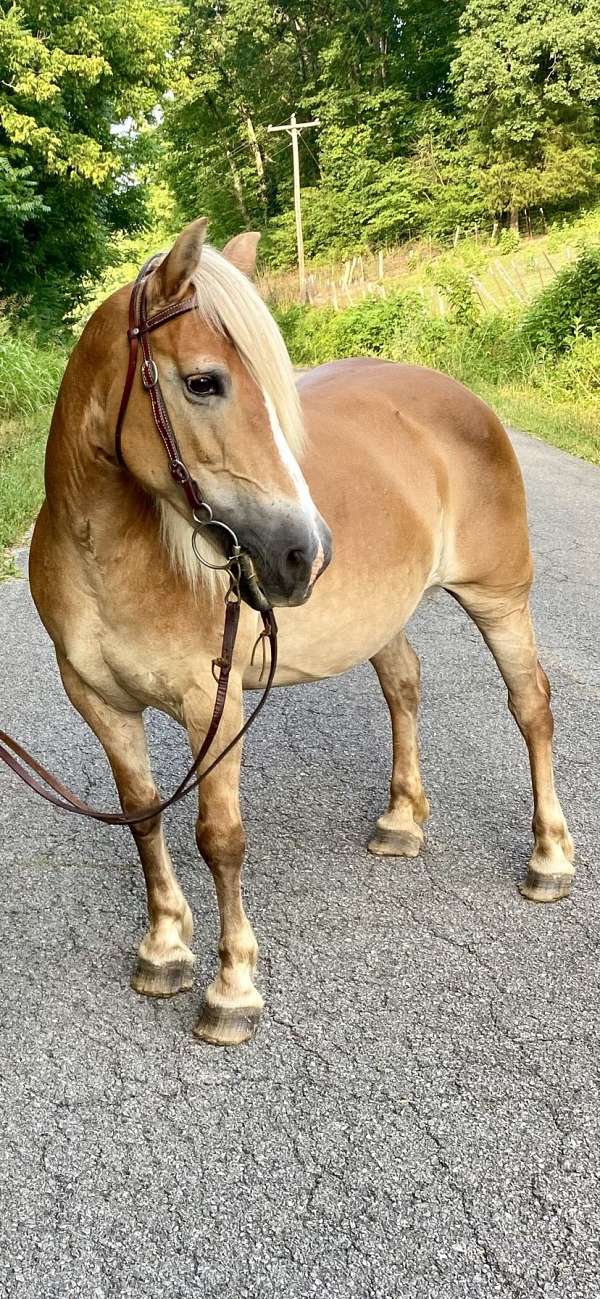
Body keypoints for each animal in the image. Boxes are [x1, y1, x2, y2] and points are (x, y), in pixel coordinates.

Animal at [29, 213, 576, 1044]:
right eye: (204, 381)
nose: (305, 552)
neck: (104, 553)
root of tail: (460, 398)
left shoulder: (212, 704)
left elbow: (219, 837)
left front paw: (232, 988)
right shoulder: (97, 698)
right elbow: (142, 817)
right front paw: (164, 947)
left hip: (499, 598)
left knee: (531, 707)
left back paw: (548, 859)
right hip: (383, 618)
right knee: (405, 686)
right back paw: (400, 821)